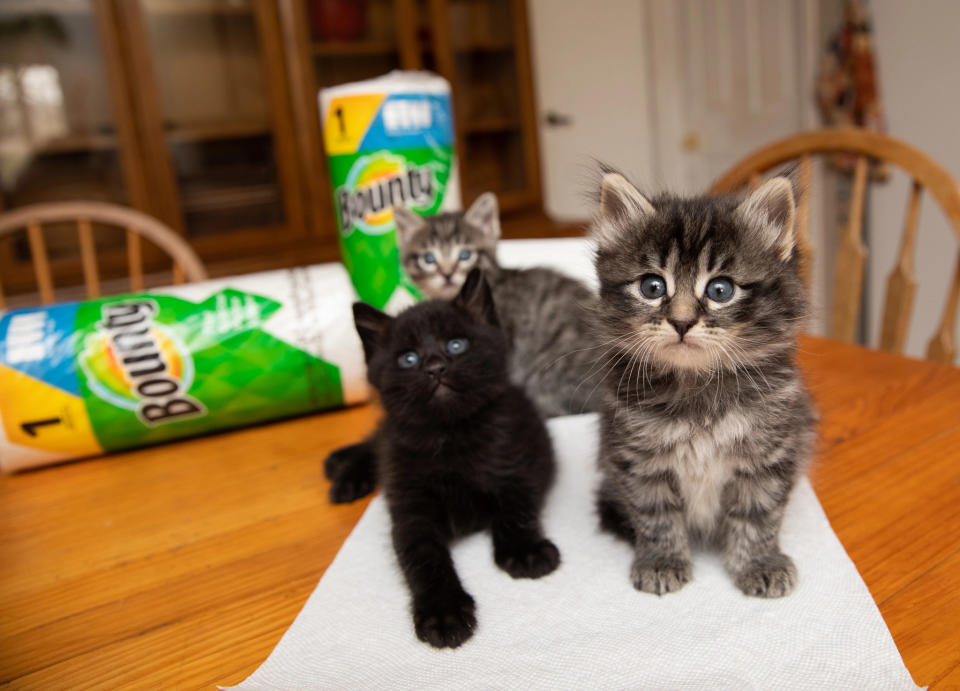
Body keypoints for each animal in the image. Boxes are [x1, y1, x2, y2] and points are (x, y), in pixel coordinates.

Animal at [324, 268, 560, 648]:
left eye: (456, 345)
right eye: (408, 359)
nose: (435, 367)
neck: (449, 435)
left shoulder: (516, 461)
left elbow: (517, 510)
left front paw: (526, 551)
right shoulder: (409, 503)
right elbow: (423, 556)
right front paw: (443, 612)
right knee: (377, 438)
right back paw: (344, 472)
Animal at [596, 173, 812, 600]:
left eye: (720, 290)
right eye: (652, 287)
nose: (681, 322)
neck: (697, 388)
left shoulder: (769, 453)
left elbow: (758, 515)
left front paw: (760, 564)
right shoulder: (637, 457)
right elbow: (656, 515)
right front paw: (662, 562)